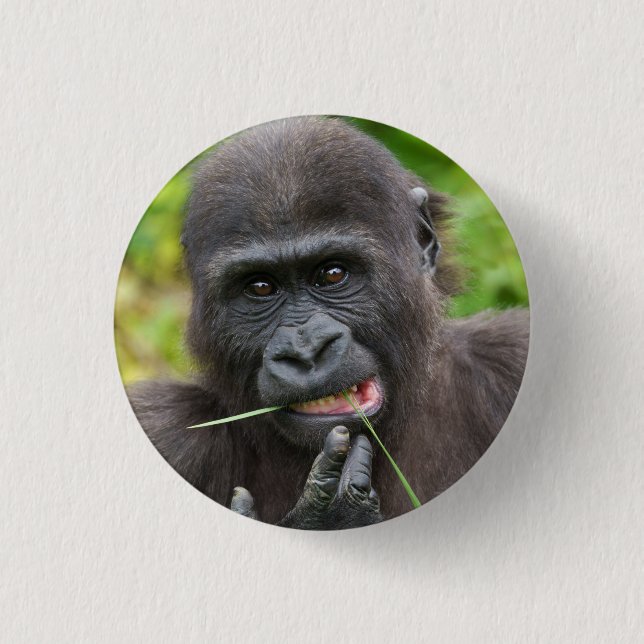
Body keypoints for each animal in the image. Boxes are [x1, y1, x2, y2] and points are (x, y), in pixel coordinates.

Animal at [128, 116, 529, 529]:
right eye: (260, 287)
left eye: (333, 274)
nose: (305, 350)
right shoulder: (164, 427)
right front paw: (327, 517)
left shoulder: (512, 354)